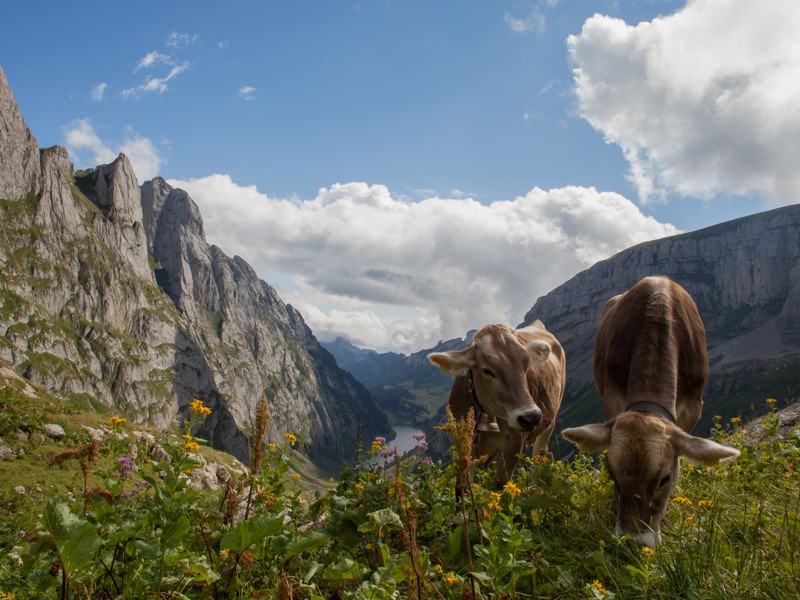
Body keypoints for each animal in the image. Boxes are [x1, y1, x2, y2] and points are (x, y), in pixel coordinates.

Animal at [428, 324, 564, 488]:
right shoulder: (462, 441)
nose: (531, 417)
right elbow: (464, 486)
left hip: (550, 422)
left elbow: (500, 483)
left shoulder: (514, 443)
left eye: (526, 365)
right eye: (488, 371)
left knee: (540, 455)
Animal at [564, 276, 736, 548]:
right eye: (611, 472)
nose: (634, 540)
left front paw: (665, 519)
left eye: (664, 478)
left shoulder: (692, 405)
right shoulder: (613, 396)